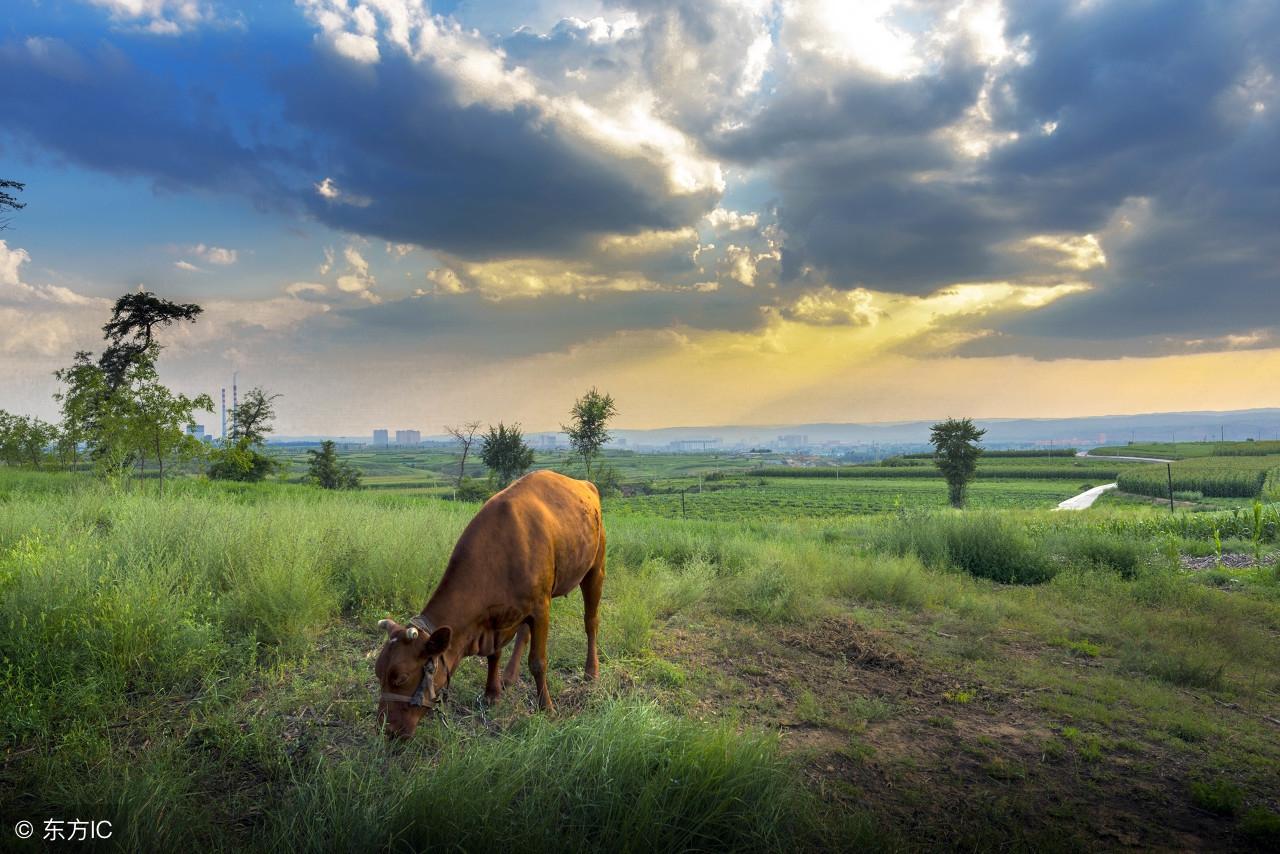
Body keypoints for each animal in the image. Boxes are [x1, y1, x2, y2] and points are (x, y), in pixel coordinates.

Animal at [373, 471, 604, 737]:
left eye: (400, 678)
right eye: (378, 673)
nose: (386, 730)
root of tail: (585, 484)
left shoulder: (540, 607)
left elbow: (538, 662)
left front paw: (546, 708)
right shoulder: (497, 618)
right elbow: (495, 654)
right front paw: (492, 694)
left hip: (595, 567)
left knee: (591, 622)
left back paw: (591, 672)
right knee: (523, 633)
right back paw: (509, 676)